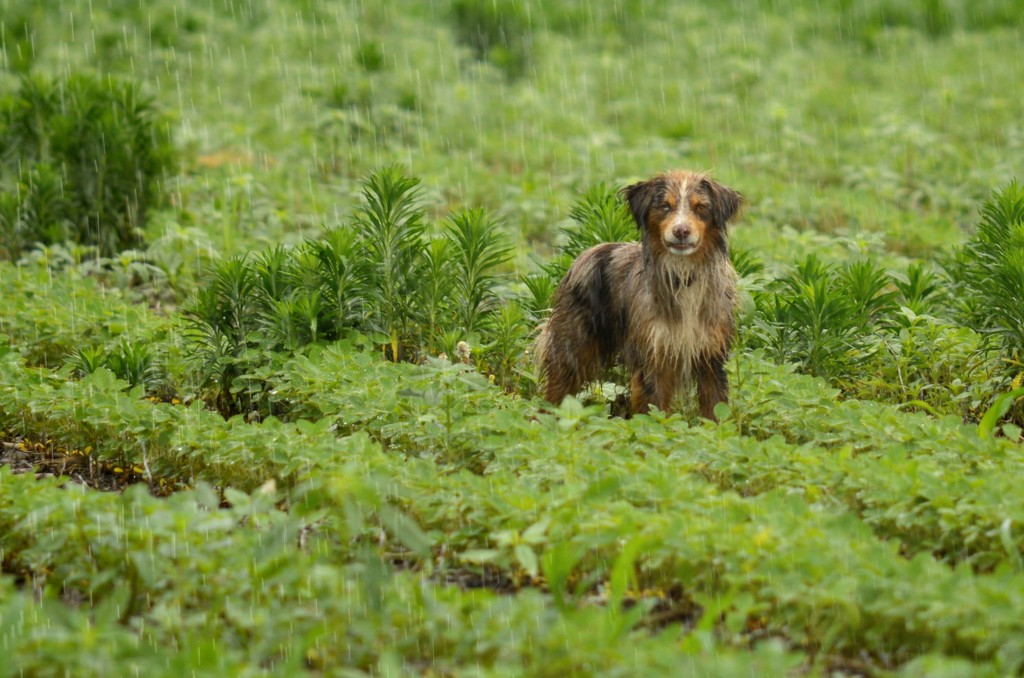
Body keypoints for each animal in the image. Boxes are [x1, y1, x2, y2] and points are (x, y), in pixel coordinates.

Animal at [536, 170, 745, 421]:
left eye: (700, 207)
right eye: (665, 206)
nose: (681, 231)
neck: (682, 276)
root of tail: (586, 253)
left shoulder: (711, 358)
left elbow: (714, 408)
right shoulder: (653, 356)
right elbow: (653, 410)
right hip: (572, 348)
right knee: (555, 392)